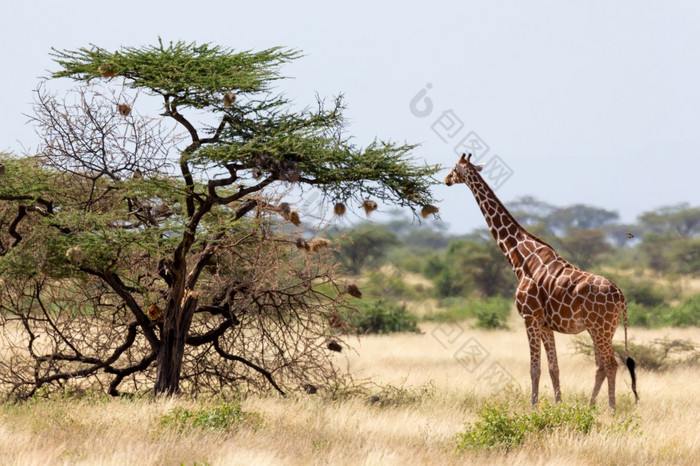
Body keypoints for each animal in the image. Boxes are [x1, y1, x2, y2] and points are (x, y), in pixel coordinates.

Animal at [446, 154, 636, 408]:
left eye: (454, 168)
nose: (446, 179)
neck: (520, 258)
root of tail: (621, 296)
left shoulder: (529, 318)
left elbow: (534, 368)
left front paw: (533, 407)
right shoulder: (546, 324)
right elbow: (554, 368)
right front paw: (558, 405)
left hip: (600, 328)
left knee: (611, 365)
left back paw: (610, 409)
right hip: (604, 329)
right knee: (601, 367)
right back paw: (590, 406)